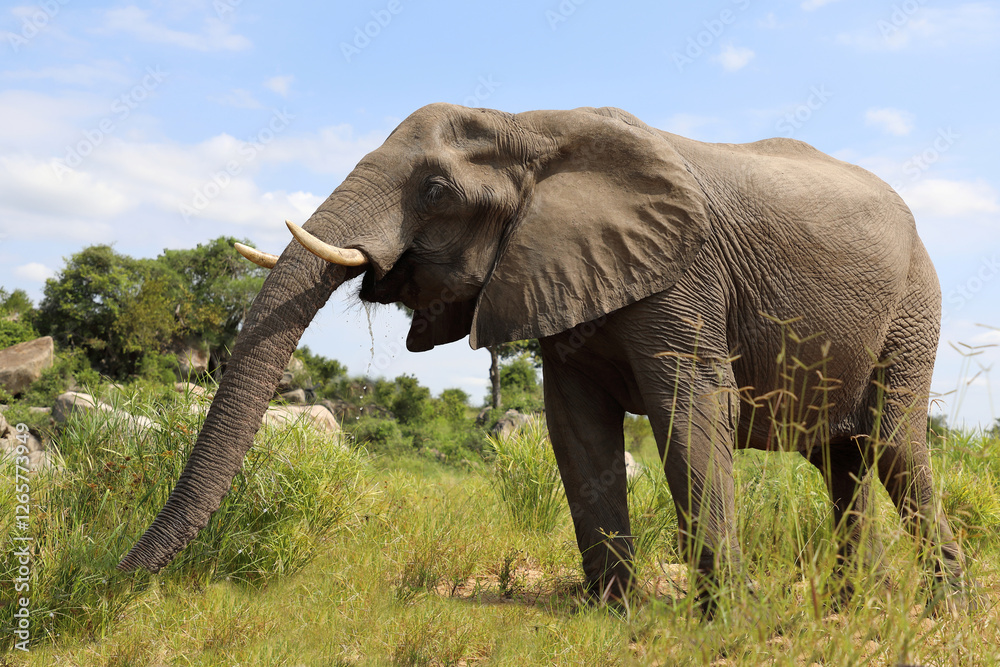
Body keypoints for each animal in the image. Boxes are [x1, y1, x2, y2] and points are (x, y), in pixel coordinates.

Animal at [119, 103, 966, 610]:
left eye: (435, 190)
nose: (109, 580)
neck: (531, 125)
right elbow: (575, 425)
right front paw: (611, 610)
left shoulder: (684, 273)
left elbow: (691, 408)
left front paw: (726, 615)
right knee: (843, 462)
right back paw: (854, 605)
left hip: (914, 307)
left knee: (892, 446)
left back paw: (942, 604)